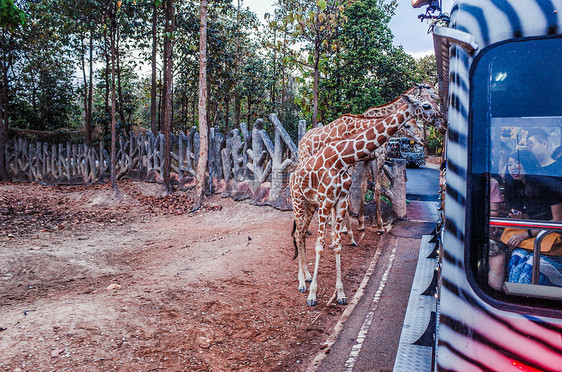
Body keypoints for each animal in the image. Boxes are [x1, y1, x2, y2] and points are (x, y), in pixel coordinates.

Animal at [290, 93, 444, 306]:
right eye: (427, 105)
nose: (443, 123)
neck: (342, 159)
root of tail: (293, 174)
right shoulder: (326, 201)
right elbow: (320, 246)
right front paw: (312, 295)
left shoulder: (338, 201)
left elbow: (337, 245)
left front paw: (341, 294)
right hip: (298, 200)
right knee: (298, 234)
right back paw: (301, 283)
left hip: (310, 203)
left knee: (302, 233)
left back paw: (306, 276)